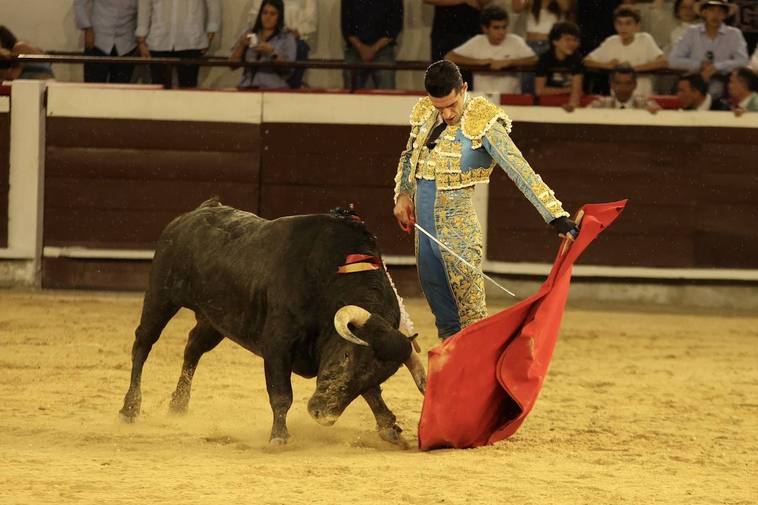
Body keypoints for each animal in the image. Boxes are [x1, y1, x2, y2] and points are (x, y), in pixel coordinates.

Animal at [119, 199, 428, 442]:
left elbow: (373, 395)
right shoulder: (278, 343)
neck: (331, 277)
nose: (322, 415)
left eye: (379, 374)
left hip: (215, 320)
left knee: (192, 349)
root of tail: (197, 211)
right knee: (142, 344)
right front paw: (279, 436)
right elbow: (281, 393)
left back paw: (178, 406)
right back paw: (129, 409)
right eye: (347, 357)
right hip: (161, 296)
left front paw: (388, 426)